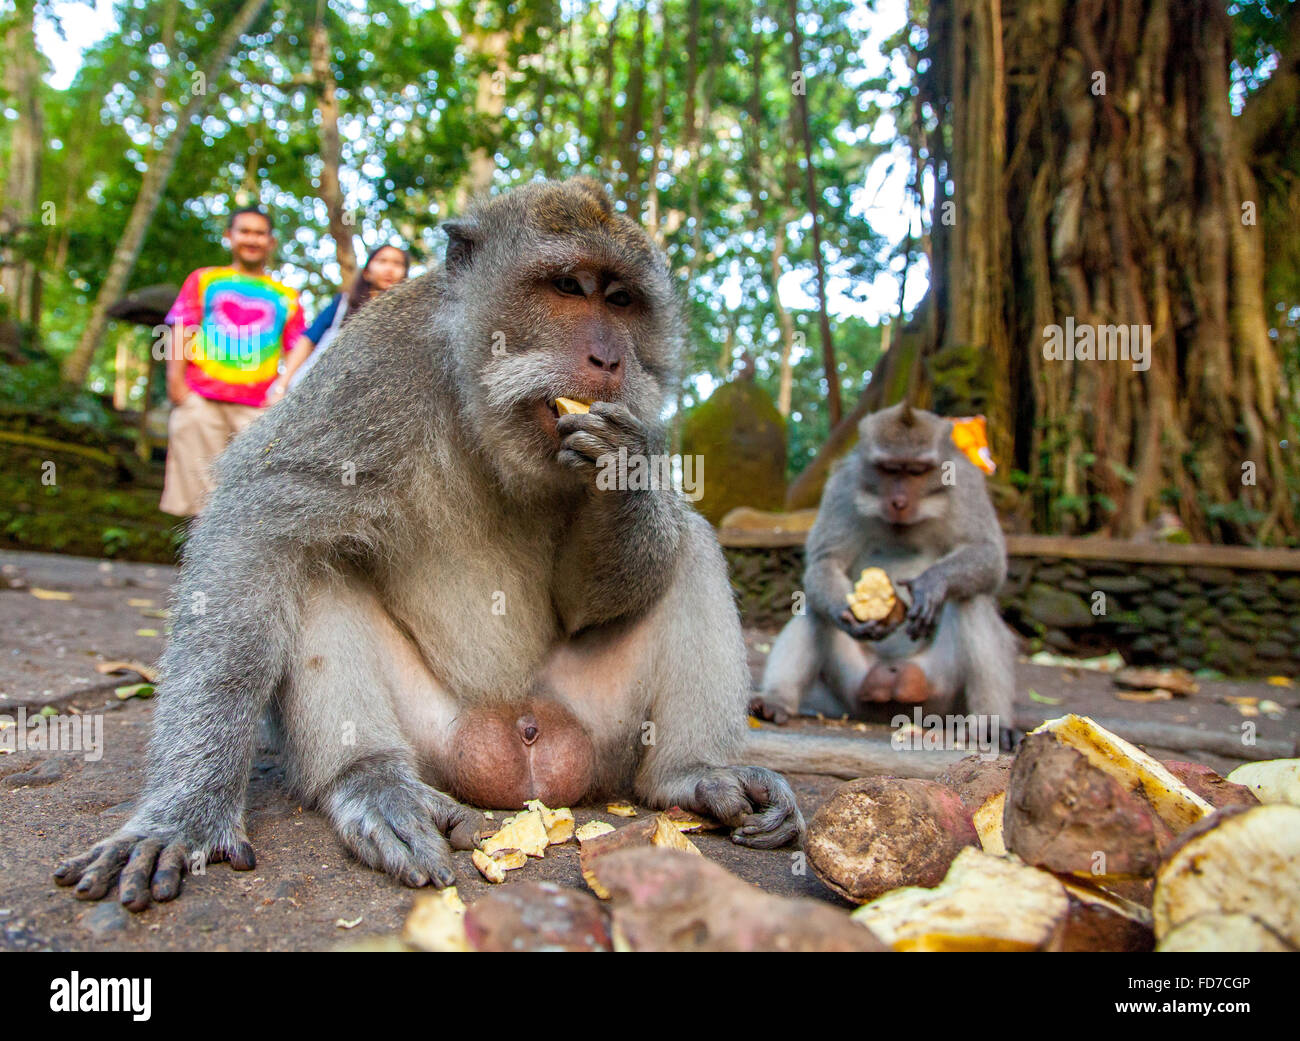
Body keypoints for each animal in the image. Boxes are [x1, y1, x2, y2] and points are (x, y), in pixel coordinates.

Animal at [54, 177, 803, 911]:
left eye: (621, 300)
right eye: (567, 287)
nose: (610, 358)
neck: (479, 403)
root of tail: (523, 750)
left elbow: (588, 600)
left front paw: (627, 472)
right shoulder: (371, 368)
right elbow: (254, 531)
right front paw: (185, 811)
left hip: (603, 731)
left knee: (693, 548)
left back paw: (694, 774)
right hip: (435, 737)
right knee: (312, 560)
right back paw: (372, 782)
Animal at [751, 402, 1018, 748]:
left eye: (916, 471)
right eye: (890, 469)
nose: (899, 502)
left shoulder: (967, 482)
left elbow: (988, 553)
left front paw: (933, 584)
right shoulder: (844, 483)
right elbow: (827, 561)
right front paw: (844, 610)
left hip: (939, 692)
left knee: (970, 599)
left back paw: (990, 724)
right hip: (851, 690)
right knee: (813, 607)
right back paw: (775, 701)